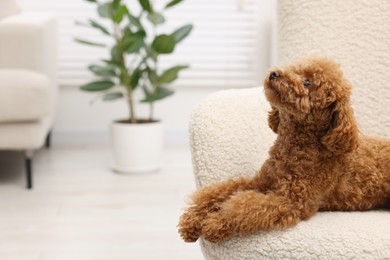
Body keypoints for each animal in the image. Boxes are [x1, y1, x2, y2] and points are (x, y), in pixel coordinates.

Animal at [178, 56, 388, 244]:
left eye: (307, 83)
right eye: (294, 69)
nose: (274, 73)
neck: (294, 147)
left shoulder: (291, 201)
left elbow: (244, 205)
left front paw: (215, 222)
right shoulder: (261, 181)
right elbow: (223, 191)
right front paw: (192, 219)